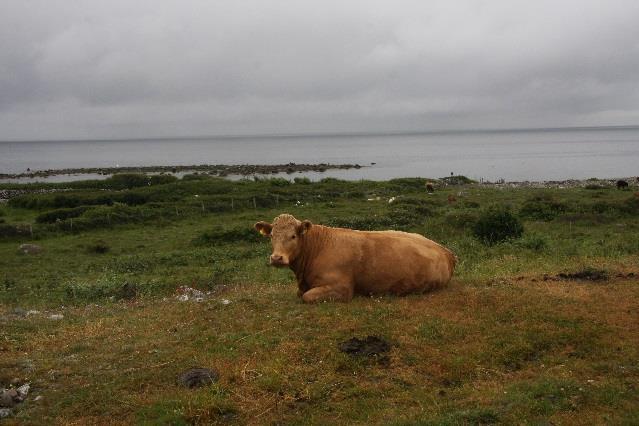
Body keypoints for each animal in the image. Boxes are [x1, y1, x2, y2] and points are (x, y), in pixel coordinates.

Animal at [252, 213, 458, 302]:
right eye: (271, 236)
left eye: (293, 236)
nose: (276, 258)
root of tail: (446, 251)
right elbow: (300, 293)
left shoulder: (341, 288)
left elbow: (307, 296)